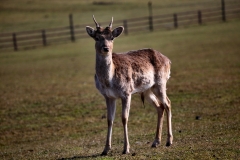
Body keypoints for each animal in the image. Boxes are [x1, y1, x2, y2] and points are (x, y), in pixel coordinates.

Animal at [86, 15, 172, 155]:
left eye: (112, 37)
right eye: (97, 37)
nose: (106, 48)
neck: (108, 80)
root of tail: (168, 60)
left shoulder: (126, 92)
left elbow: (124, 118)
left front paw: (126, 148)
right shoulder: (108, 96)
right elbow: (109, 120)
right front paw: (105, 149)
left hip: (160, 83)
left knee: (168, 103)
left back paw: (169, 141)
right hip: (147, 89)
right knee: (160, 107)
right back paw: (155, 142)